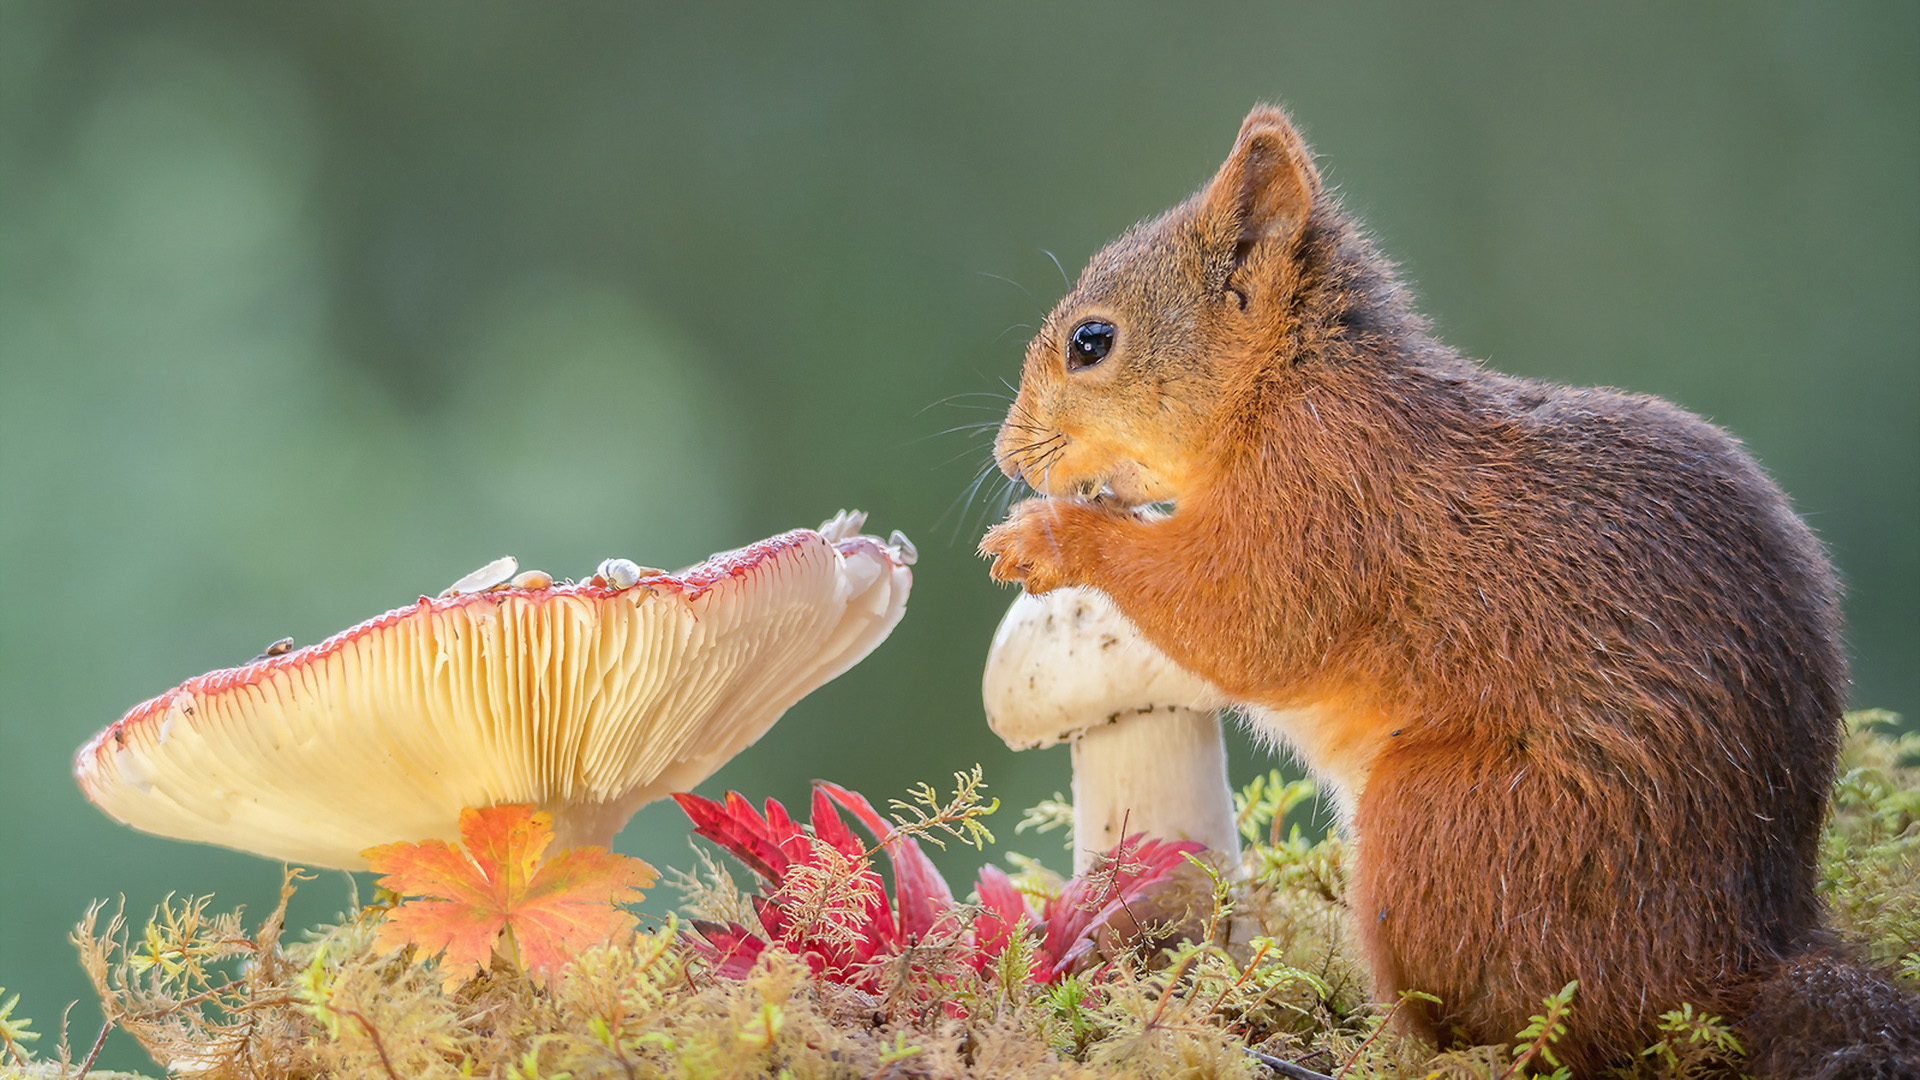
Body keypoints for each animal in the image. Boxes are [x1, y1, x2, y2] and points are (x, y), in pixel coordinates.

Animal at [983, 107, 1912, 1068]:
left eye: (1092, 342)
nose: (1010, 455)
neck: (1286, 389)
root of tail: (1737, 959)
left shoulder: (1326, 506)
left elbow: (1246, 621)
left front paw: (1052, 537)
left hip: (1448, 828)